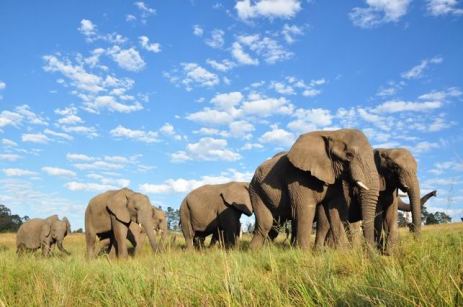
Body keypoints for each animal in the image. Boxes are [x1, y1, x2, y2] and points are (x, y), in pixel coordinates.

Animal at [250, 129, 380, 251]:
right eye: (349, 155)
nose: (370, 252)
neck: (333, 133)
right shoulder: (298, 176)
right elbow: (305, 209)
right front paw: (303, 253)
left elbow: (337, 211)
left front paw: (343, 252)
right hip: (256, 191)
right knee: (266, 223)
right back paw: (254, 252)